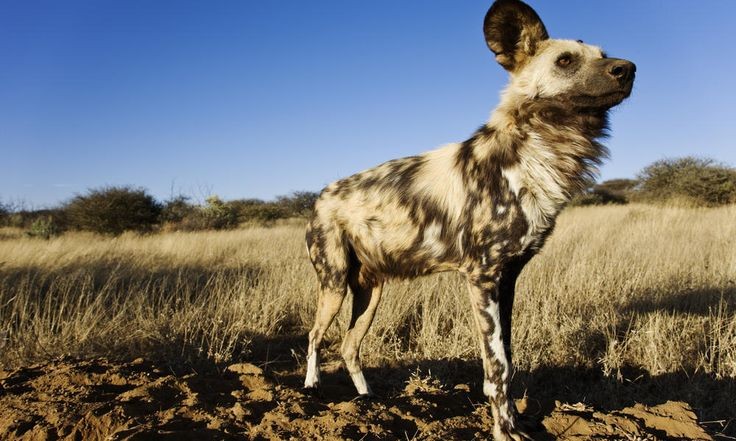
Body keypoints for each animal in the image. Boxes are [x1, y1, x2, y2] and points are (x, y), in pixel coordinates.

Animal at [304, 1, 632, 438]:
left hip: (371, 293)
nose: (628, 68)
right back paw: (312, 391)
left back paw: (367, 402)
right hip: (335, 285)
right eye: (565, 61)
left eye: (603, 54)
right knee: (314, 336)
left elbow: (508, 362)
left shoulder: (507, 280)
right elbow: (497, 368)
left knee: (349, 346)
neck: (539, 155)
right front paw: (503, 431)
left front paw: (514, 423)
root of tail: (322, 194)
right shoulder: (482, 278)